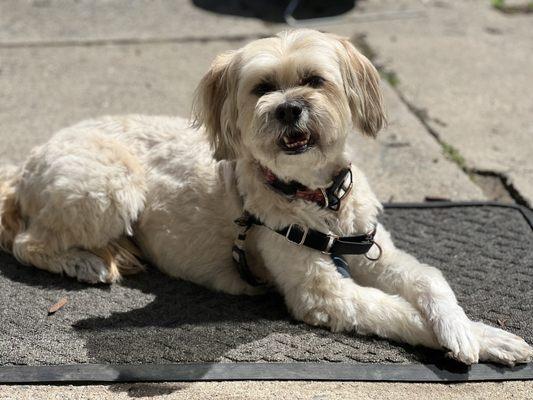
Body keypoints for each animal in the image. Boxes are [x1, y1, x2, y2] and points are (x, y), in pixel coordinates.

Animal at [0, 28, 528, 366]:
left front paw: (464, 327)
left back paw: (116, 252)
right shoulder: (326, 295)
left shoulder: (372, 249)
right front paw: (485, 340)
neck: (319, 200)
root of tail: (26, 162)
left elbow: (429, 280)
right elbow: (399, 311)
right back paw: (84, 261)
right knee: (27, 244)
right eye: (262, 88)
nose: (289, 108)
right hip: (112, 184)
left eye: (314, 80)